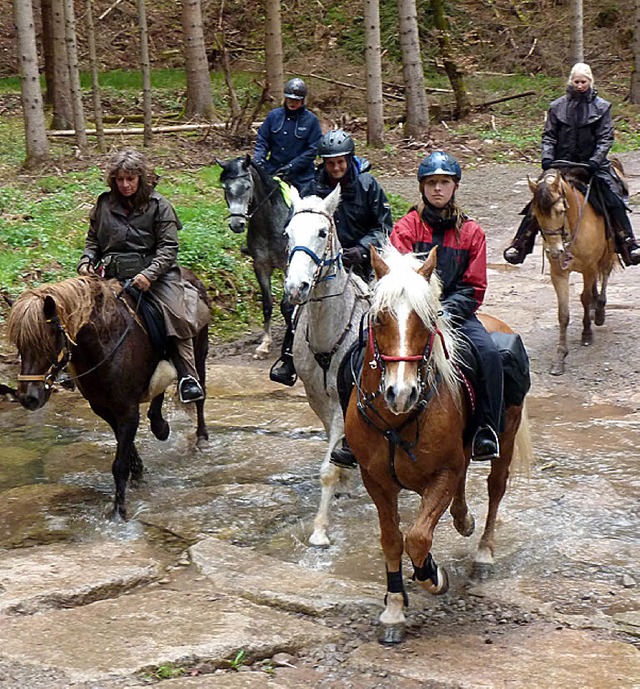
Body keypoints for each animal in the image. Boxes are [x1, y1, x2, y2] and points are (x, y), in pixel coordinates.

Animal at [6, 272, 210, 520]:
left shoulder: (127, 410)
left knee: (199, 393)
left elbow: (119, 464)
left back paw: (201, 437)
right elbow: (126, 449)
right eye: (19, 345)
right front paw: (138, 473)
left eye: (49, 341)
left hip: (198, 352)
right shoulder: (104, 408)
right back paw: (160, 427)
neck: (105, 345)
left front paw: (118, 513)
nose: (29, 398)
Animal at [219, 157, 292, 360]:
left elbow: (286, 305)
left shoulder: (288, 267)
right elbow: (267, 305)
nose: (237, 224)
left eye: (247, 187)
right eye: (225, 188)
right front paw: (264, 345)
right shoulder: (261, 267)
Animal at [342, 246, 532, 644]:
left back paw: (484, 553)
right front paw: (394, 609)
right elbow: (392, 540)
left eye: (427, 319)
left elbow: (418, 538)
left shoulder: (443, 473)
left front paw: (432, 576)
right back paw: (463, 520)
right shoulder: (375, 480)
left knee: (495, 488)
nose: (400, 393)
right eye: (378, 318)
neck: (396, 422)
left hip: (504, 439)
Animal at [528, 164, 616, 374]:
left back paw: (599, 310)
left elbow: (584, 298)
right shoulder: (558, 273)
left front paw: (587, 333)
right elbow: (563, 314)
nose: (554, 251)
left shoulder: (589, 268)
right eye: (536, 214)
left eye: (561, 211)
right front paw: (560, 357)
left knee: (605, 274)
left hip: (608, 253)